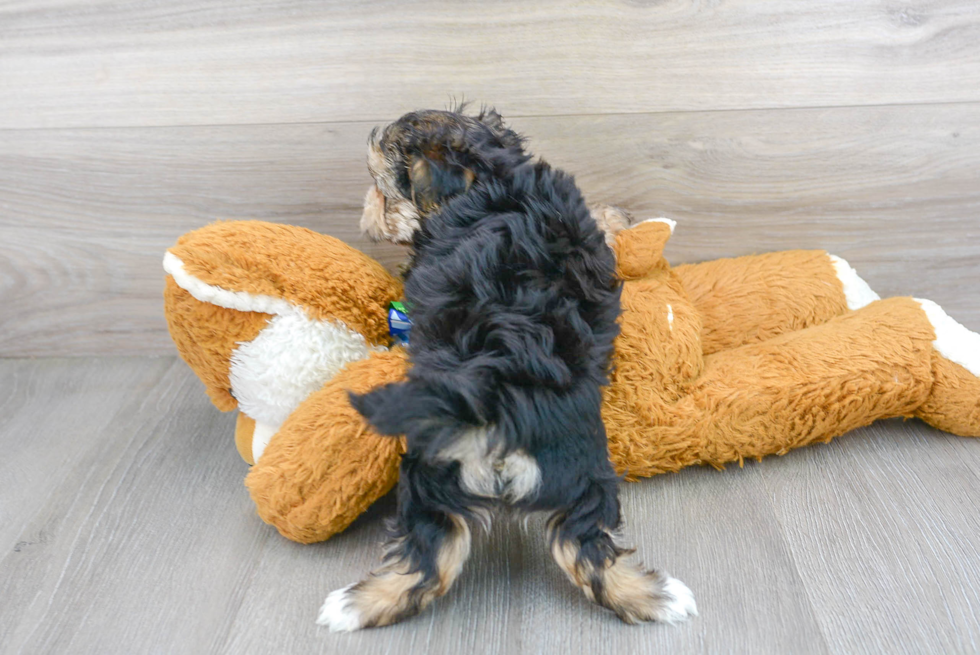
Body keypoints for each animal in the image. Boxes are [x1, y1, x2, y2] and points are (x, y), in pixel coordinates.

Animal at [316, 107, 696, 632]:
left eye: (382, 188)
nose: (366, 211)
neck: (492, 174)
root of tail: (499, 400)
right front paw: (617, 216)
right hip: (578, 473)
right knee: (579, 549)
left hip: (435, 469)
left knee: (429, 551)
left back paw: (352, 604)